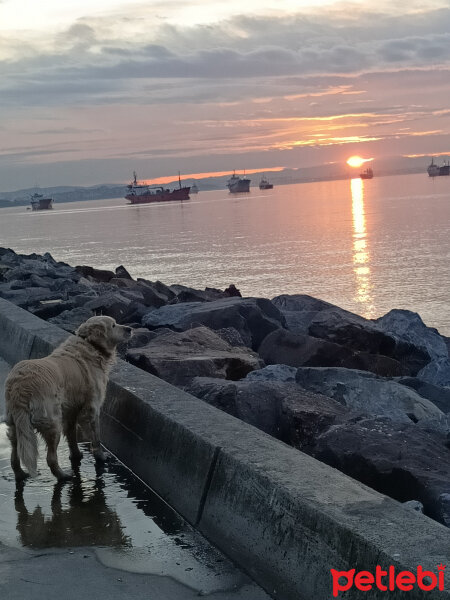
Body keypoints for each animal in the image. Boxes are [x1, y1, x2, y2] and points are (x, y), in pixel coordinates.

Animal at [4, 316, 132, 480]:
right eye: (114, 325)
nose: (130, 329)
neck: (90, 344)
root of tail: (19, 385)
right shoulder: (92, 408)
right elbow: (96, 436)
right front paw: (101, 456)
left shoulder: (71, 411)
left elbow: (71, 436)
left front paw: (76, 454)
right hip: (52, 421)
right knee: (51, 458)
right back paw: (64, 476)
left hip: (15, 423)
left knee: (15, 454)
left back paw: (21, 474)